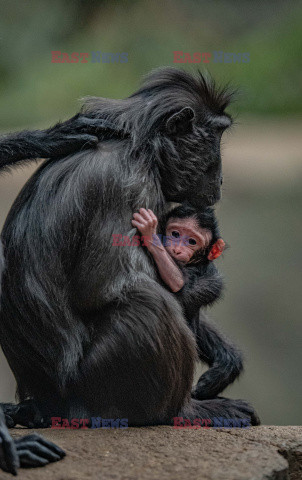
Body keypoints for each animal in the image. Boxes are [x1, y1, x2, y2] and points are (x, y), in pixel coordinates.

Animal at [132, 203, 243, 402]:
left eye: (192, 241)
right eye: (175, 234)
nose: (177, 248)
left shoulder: (208, 278)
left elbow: (180, 285)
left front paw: (151, 235)